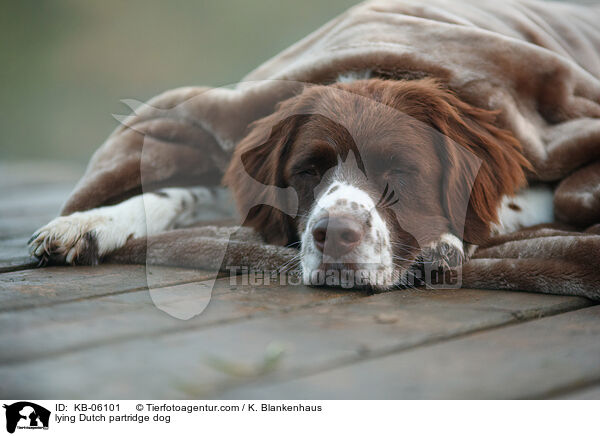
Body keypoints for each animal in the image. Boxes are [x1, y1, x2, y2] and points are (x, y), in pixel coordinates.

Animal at [28, 77, 552, 290]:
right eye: (308, 171)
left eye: (399, 172)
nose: (335, 236)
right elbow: (178, 193)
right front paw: (88, 222)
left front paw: (442, 242)